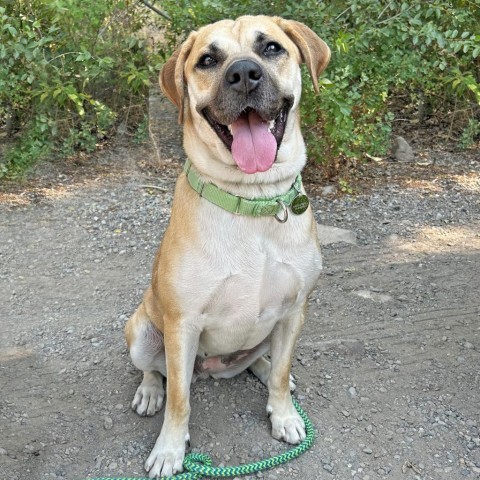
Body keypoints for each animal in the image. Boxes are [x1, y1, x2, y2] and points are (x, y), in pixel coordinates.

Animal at [124, 14, 330, 476]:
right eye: (207, 60)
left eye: (271, 48)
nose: (244, 74)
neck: (252, 201)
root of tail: (212, 370)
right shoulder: (182, 325)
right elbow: (179, 401)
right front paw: (169, 450)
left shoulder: (295, 311)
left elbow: (280, 373)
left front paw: (284, 414)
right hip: (142, 333)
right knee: (156, 373)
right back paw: (150, 392)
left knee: (261, 363)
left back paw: (268, 371)